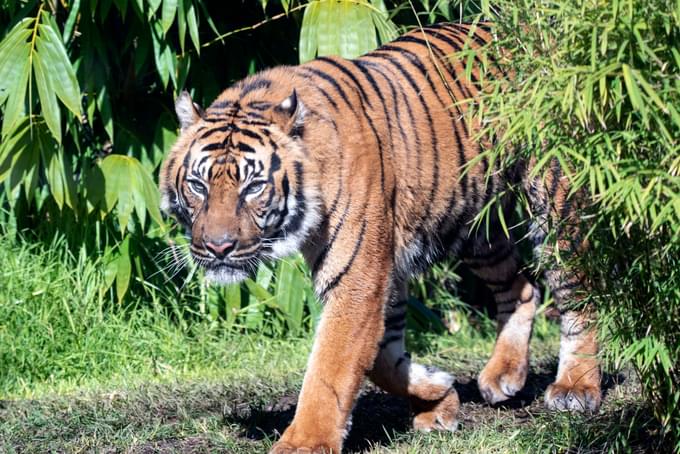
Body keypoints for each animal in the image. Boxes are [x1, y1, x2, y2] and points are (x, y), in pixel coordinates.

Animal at [159, 22, 600, 454]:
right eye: (198, 185)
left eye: (253, 187)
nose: (218, 247)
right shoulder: (384, 274)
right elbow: (383, 360)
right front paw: (438, 397)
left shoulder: (358, 277)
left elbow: (331, 368)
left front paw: (304, 442)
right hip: (475, 225)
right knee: (522, 287)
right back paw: (504, 375)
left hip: (556, 199)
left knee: (578, 292)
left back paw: (576, 388)